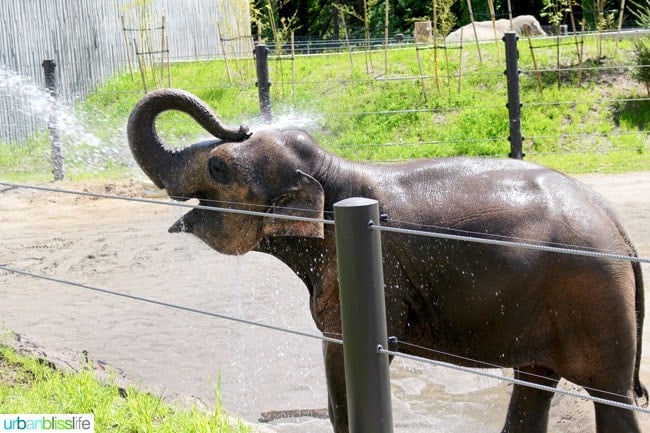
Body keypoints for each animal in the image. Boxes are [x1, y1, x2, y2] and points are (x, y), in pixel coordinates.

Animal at [126, 88, 644, 432]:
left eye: (219, 167)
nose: (239, 124)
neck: (328, 171)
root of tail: (619, 229)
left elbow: (340, 364)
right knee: (534, 384)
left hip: (595, 299)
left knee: (610, 398)